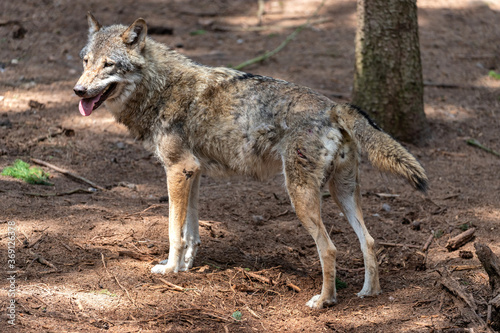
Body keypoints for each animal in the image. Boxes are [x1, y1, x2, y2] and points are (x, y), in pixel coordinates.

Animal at [73, 13, 426, 308]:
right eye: (86, 61)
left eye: (108, 65)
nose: (77, 90)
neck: (160, 87)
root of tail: (334, 107)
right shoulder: (192, 172)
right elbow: (191, 231)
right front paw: (186, 267)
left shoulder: (177, 170)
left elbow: (174, 231)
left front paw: (170, 269)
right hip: (342, 193)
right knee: (369, 240)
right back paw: (370, 292)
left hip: (300, 196)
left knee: (329, 248)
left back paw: (324, 301)